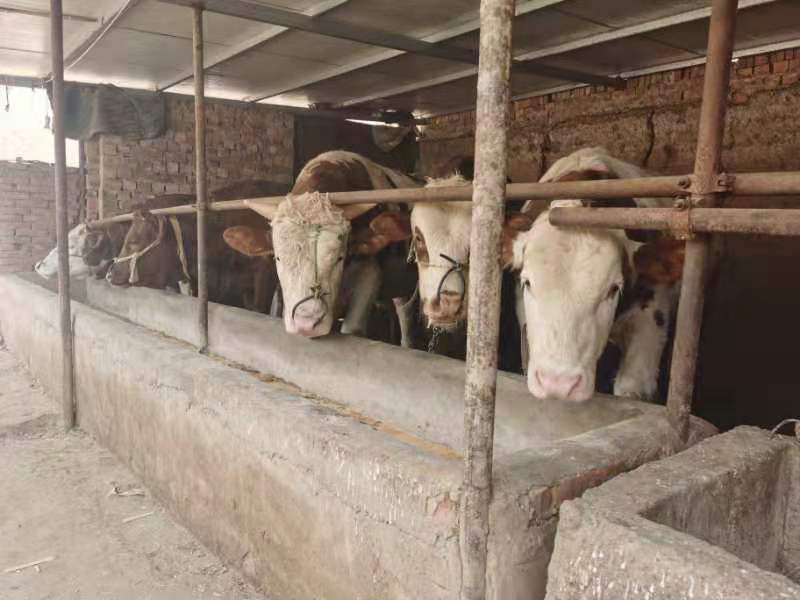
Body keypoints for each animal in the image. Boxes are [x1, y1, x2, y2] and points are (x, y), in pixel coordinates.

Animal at [223, 150, 420, 339]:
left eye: (340, 258)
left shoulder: (371, 272)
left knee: (406, 312)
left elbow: (352, 329)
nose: (306, 323)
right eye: (278, 258)